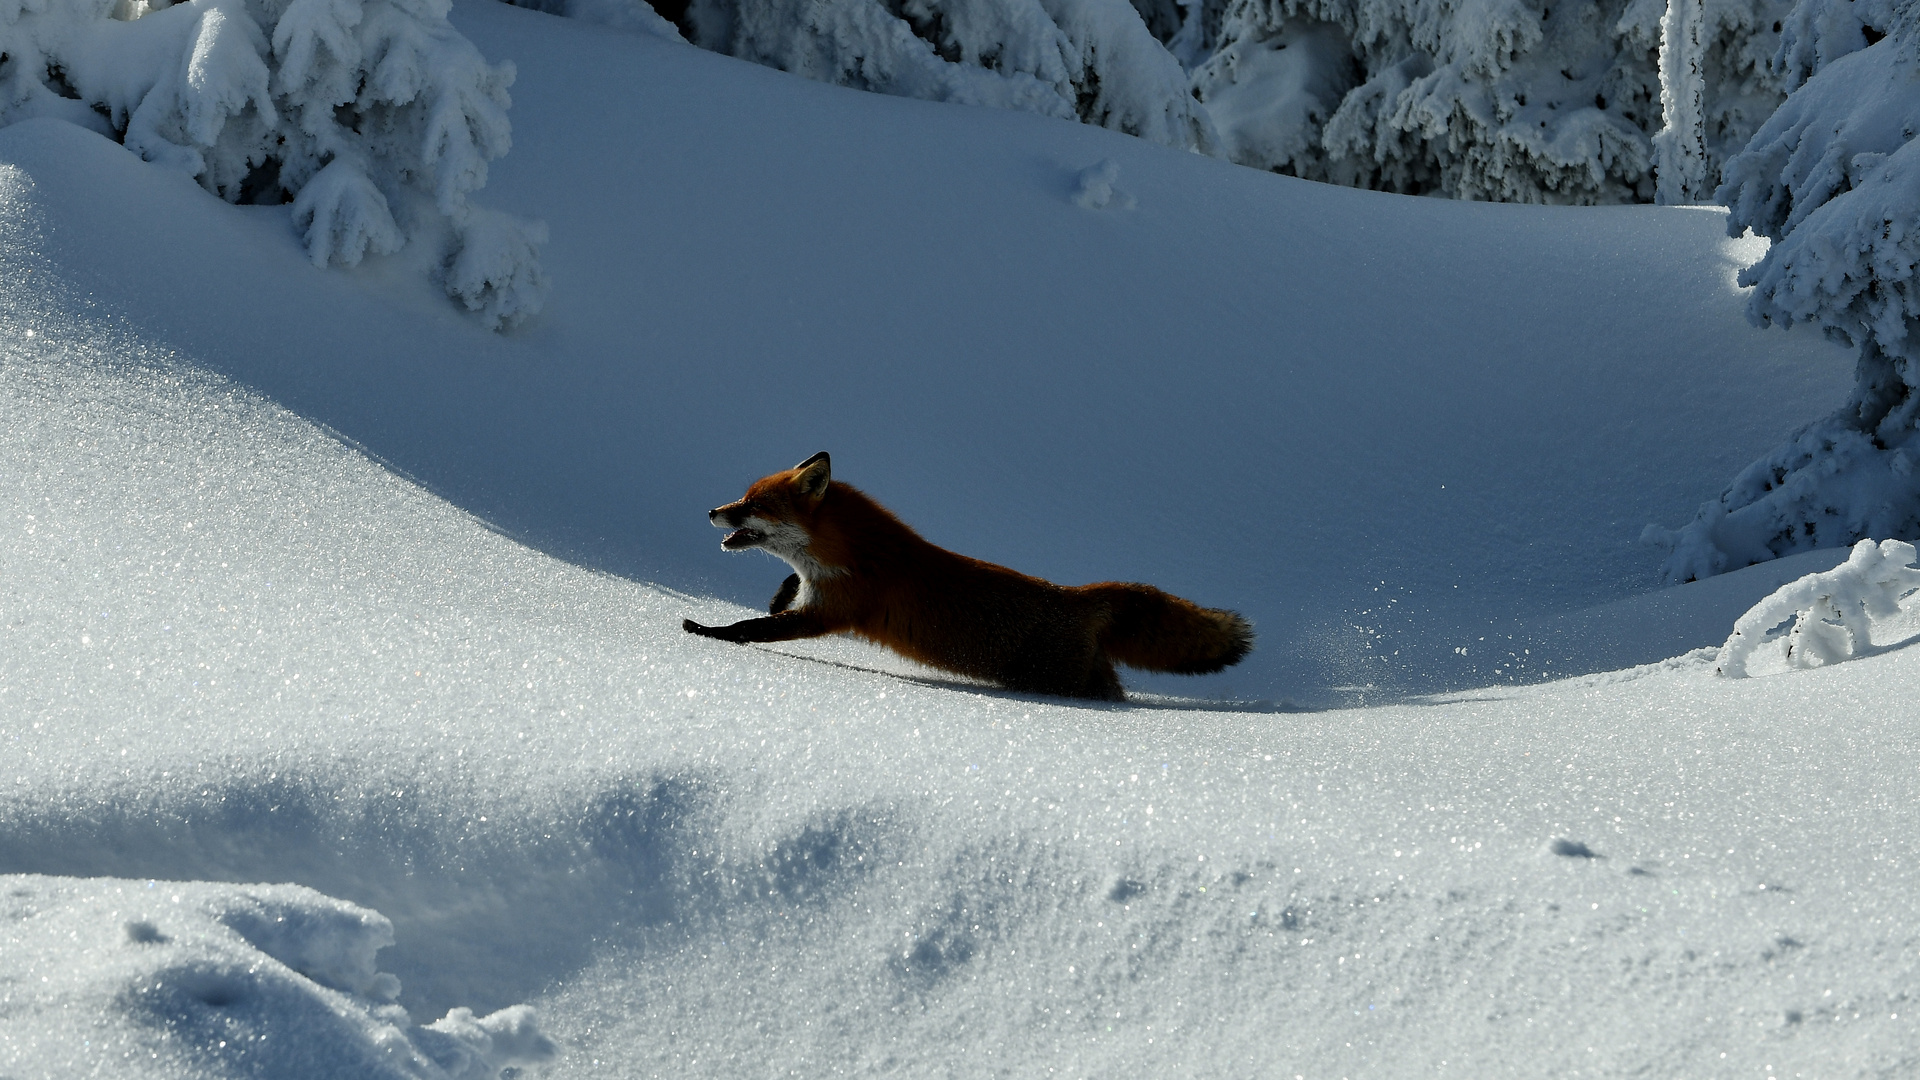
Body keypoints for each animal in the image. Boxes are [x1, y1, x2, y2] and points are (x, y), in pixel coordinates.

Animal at [683, 451, 1251, 699]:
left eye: (752, 505)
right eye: (740, 497)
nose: (710, 511)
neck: (847, 554)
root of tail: (1078, 595)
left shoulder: (831, 611)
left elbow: (749, 629)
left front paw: (704, 630)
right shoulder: (815, 595)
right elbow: (777, 603)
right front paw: (776, 594)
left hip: (1056, 678)